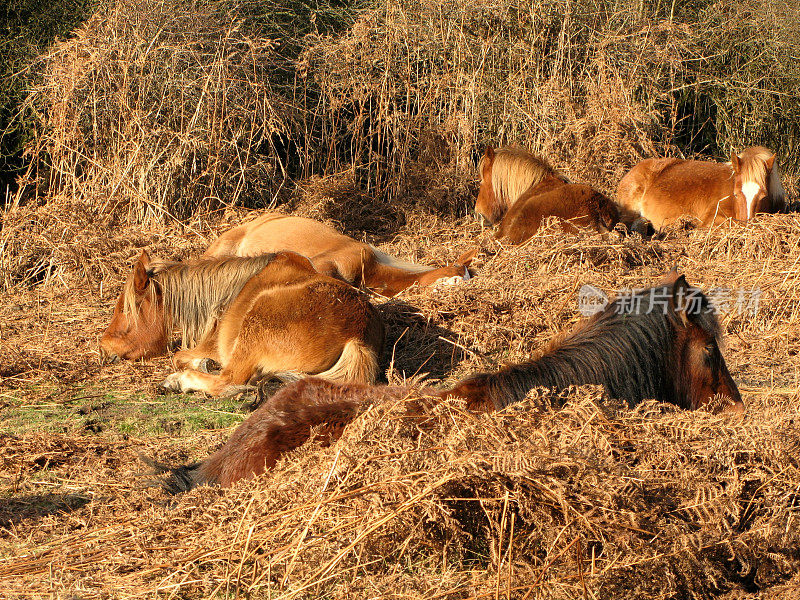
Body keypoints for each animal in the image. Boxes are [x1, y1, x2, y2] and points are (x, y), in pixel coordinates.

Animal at [98, 248, 386, 394]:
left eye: (125, 309)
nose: (104, 346)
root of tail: (357, 335)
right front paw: (206, 363)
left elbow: (179, 357)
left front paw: (201, 364)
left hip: (255, 325)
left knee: (229, 381)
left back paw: (179, 381)